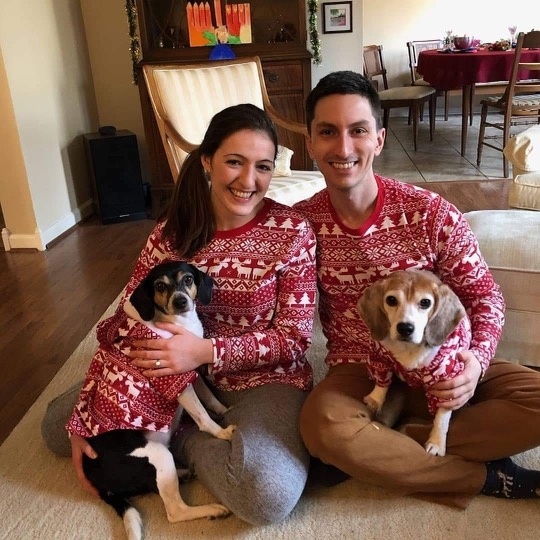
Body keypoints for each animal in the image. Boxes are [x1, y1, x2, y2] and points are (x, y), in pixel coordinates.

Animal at [75, 262, 234, 540]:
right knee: (175, 512)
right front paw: (222, 432)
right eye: (159, 286)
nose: (181, 301)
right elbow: (202, 416)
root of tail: (98, 481)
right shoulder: (176, 381)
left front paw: (224, 410)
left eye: (188, 279)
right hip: (159, 455)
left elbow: (210, 398)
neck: (176, 322)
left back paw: (183, 474)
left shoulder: (189, 370)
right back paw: (212, 509)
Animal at [358, 270, 468, 456]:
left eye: (425, 302)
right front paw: (375, 399)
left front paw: (437, 443)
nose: (405, 328)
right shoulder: (380, 358)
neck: (408, 348)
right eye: (391, 300)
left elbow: (441, 418)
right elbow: (382, 383)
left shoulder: (447, 382)